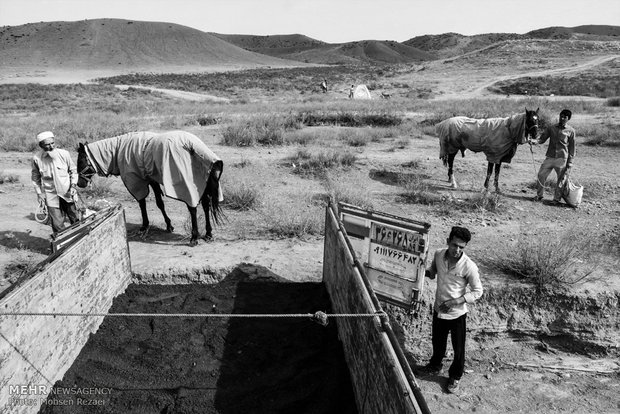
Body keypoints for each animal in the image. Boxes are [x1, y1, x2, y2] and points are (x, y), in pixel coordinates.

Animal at [77, 131, 223, 244]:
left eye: (80, 160)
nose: (79, 184)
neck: (119, 150)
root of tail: (195, 147)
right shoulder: (152, 179)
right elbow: (160, 203)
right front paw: (169, 225)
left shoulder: (137, 181)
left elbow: (142, 203)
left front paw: (145, 225)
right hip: (201, 183)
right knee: (206, 205)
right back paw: (208, 233)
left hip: (187, 185)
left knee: (193, 208)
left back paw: (194, 237)